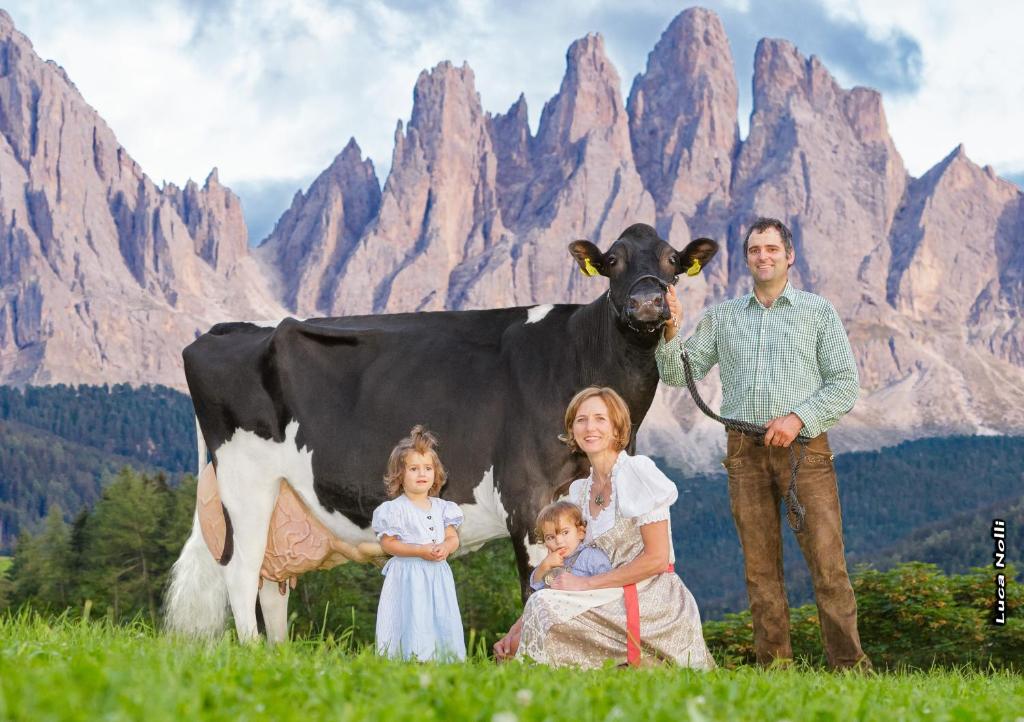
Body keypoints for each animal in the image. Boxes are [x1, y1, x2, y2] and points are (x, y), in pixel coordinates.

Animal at [163, 222, 716, 639]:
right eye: (613, 261)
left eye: (672, 260)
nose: (648, 302)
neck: (581, 357)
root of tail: (224, 329)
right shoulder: (526, 493)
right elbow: (535, 584)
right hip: (245, 481)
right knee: (240, 574)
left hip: (281, 501)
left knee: (271, 583)